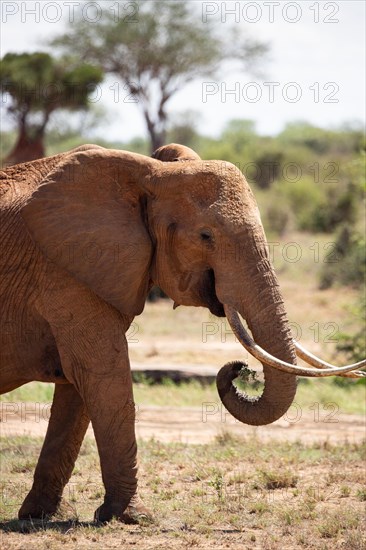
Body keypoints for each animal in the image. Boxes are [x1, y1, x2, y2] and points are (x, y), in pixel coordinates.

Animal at [1, 143, 364, 528]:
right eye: (206, 236)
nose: (238, 369)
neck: (151, 174)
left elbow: (79, 387)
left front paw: (42, 516)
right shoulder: (63, 272)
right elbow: (103, 376)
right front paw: (133, 517)